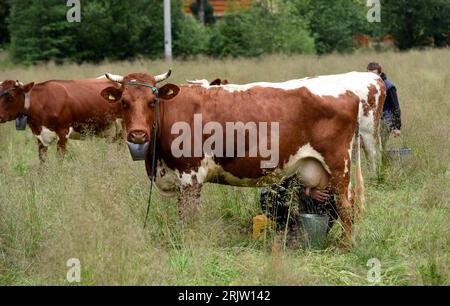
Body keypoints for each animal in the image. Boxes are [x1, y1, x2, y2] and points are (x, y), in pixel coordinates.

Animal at [100, 71, 384, 246]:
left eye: (152, 101)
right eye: (123, 102)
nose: (138, 134)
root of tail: (349, 92)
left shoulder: (190, 175)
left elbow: (189, 216)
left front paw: (188, 243)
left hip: (339, 165)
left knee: (346, 205)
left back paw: (345, 246)